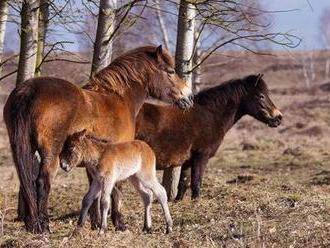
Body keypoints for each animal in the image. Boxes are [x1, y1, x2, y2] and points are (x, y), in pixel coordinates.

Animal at [2, 45, 192, 233]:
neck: (120, 99)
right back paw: (44, 226)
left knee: (26, 181)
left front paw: (95, 222)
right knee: (42, 183)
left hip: (24, 149)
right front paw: (118, 223)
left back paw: (31, 224)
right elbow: (116, 189)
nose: (189, 96)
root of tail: (28, 90)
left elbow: (94, 191)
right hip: (51, 155)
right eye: (170, 71)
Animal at [135, 73, 282, 200]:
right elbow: (196, 183)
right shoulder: (201, 156)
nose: (278, 117)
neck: (209, 115)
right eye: (261, 96)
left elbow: (183, 183)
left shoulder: (188, 161)